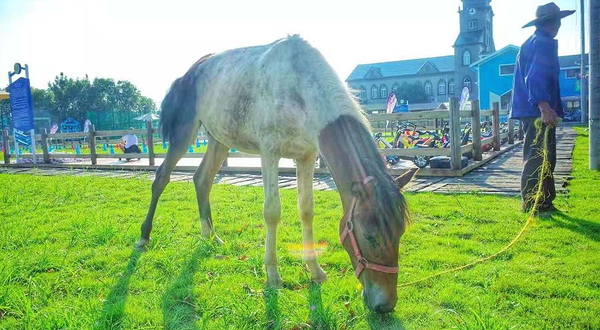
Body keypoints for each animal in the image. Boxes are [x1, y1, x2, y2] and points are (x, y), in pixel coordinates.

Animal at [137, 34, 418, 314]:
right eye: (369, 236)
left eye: (401, 232)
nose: (385, 305)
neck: (298, 87)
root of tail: (188, 74)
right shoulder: (269, 152)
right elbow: (272, 212)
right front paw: (272, 274)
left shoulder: (306, 156)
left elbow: (306, 210)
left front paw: (315, 269)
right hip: (184, 132)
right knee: (161, 178)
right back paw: (144, 236)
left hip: (219, 139)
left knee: (202, 179)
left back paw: (210, 236)